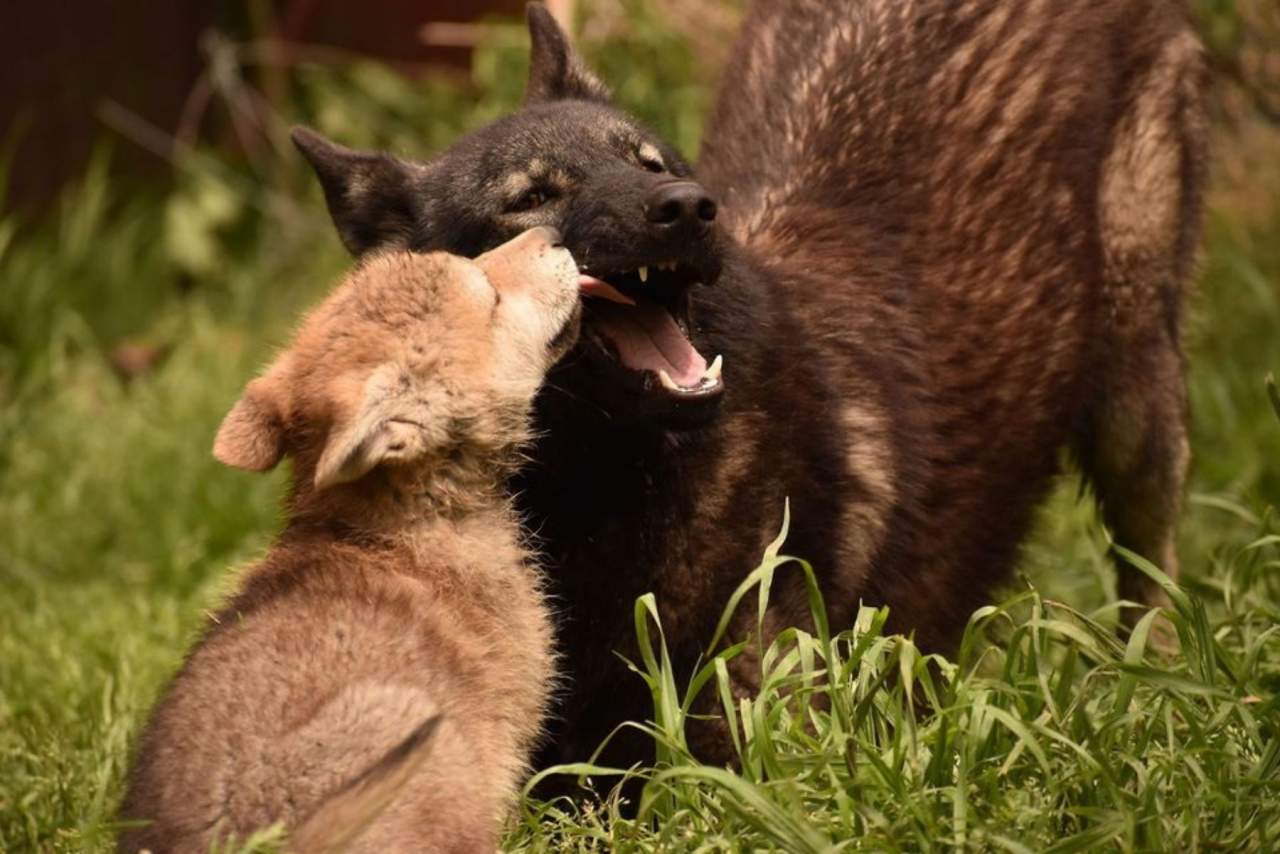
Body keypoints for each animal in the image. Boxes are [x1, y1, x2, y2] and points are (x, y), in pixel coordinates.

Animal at [293, 0, 1208, 770]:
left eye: (647, 161)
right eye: (532, 196)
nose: (689, 207)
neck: (604, 485)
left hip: (1135, 398)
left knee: (1151, 565)